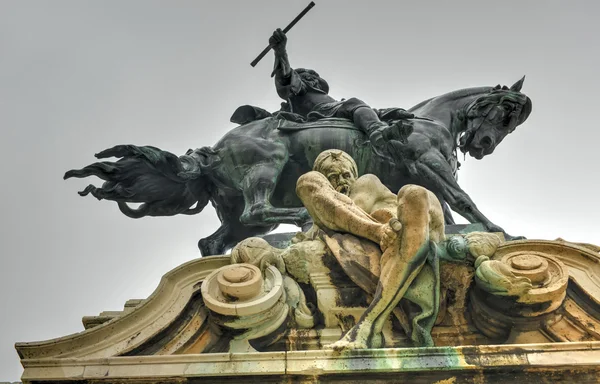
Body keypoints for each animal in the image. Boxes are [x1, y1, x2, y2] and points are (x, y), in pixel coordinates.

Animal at [65, 76, 532, 256]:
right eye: (504, 112)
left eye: (511, 122)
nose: (484, 145)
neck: (430, 118)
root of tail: (212, 152)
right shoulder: (428, 164)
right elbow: (463, 200)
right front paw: (501, 231)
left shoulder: (421, 179)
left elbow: (446, 212)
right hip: (265, 168)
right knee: (258, 210)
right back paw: (304, 218)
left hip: (235, 212)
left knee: (216, 240)